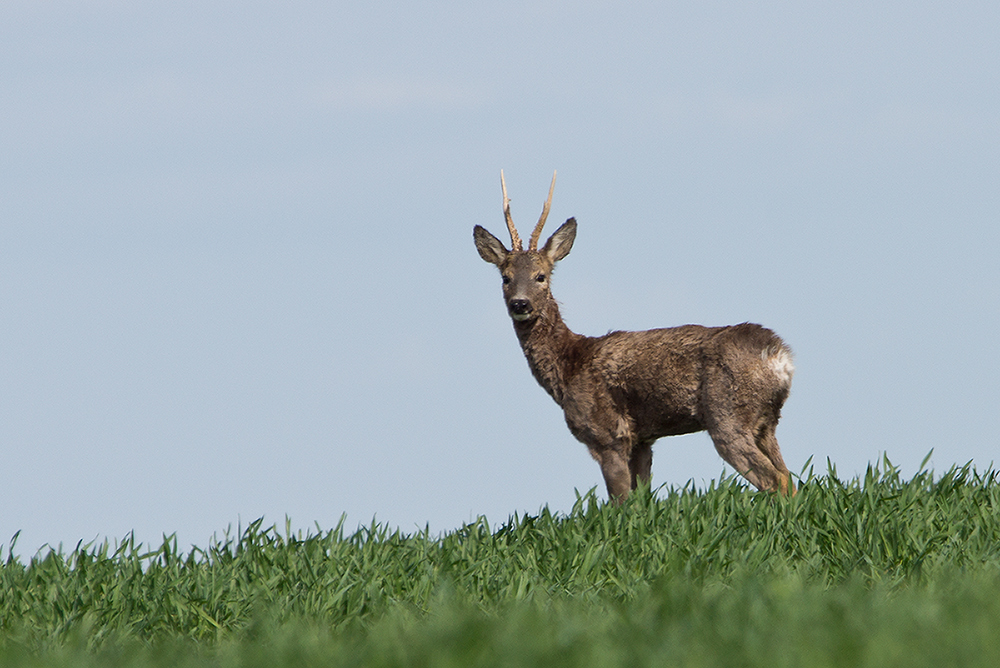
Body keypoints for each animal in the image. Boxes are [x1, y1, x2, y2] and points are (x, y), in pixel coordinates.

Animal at [476, 172, 796, 500]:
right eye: (505, 278)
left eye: (541, 276)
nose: (520, 304)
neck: (570, 365)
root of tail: (778, 354)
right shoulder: (643, 439)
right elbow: (641, 501)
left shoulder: (607, 434)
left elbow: (620, 500)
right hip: (766, 422)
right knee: (790, 478)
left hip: (727, 415)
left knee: (776, 480)